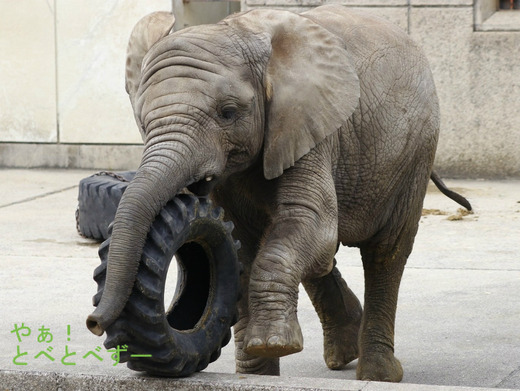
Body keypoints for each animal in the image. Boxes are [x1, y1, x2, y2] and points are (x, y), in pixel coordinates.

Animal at [87, 3, 470, 382]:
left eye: (228, 113)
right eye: (142, 119)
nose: (93, 323)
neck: (234, 30)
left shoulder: (307, 124)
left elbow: (310, 221)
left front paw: (272, 345)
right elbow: (243, 248)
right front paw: (256, 374)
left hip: (416, 151)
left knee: (385, 252)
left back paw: (379, 374)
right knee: (320, 256)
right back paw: (344, 352)